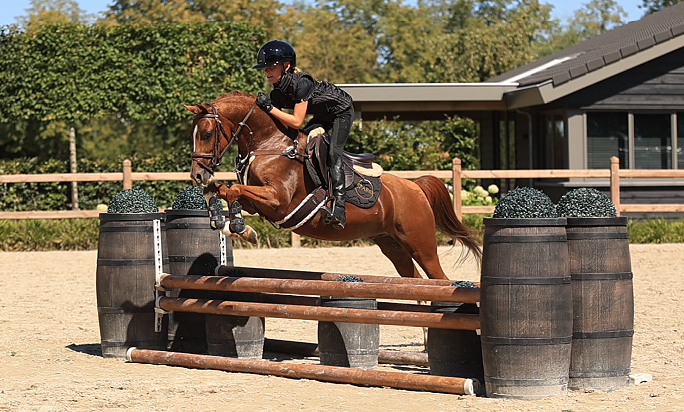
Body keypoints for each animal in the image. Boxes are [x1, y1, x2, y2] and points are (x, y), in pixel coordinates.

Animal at [185, 91, 482, 280]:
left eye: (207, 134)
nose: (197, 175)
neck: (269, 145)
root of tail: (416, 187)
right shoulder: (259, 203)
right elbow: (221, 191)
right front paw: (229, 224)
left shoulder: (278, 201)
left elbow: (233, 191)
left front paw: (237, 226)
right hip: (391, 244)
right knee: (415, 280)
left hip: (421, 243)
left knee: (439, 279)